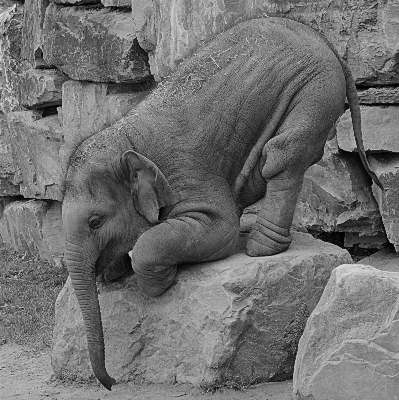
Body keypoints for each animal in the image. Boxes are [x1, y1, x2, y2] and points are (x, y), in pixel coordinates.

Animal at [61, 17, 382, 390]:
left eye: (95, 221)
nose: (112, 383)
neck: (126, 139)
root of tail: (328, 44)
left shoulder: (187, 173)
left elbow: (217, 230)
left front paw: (162, 281)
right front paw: (115, 270)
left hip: (315, 89)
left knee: (283, 155)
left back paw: (260, 248)